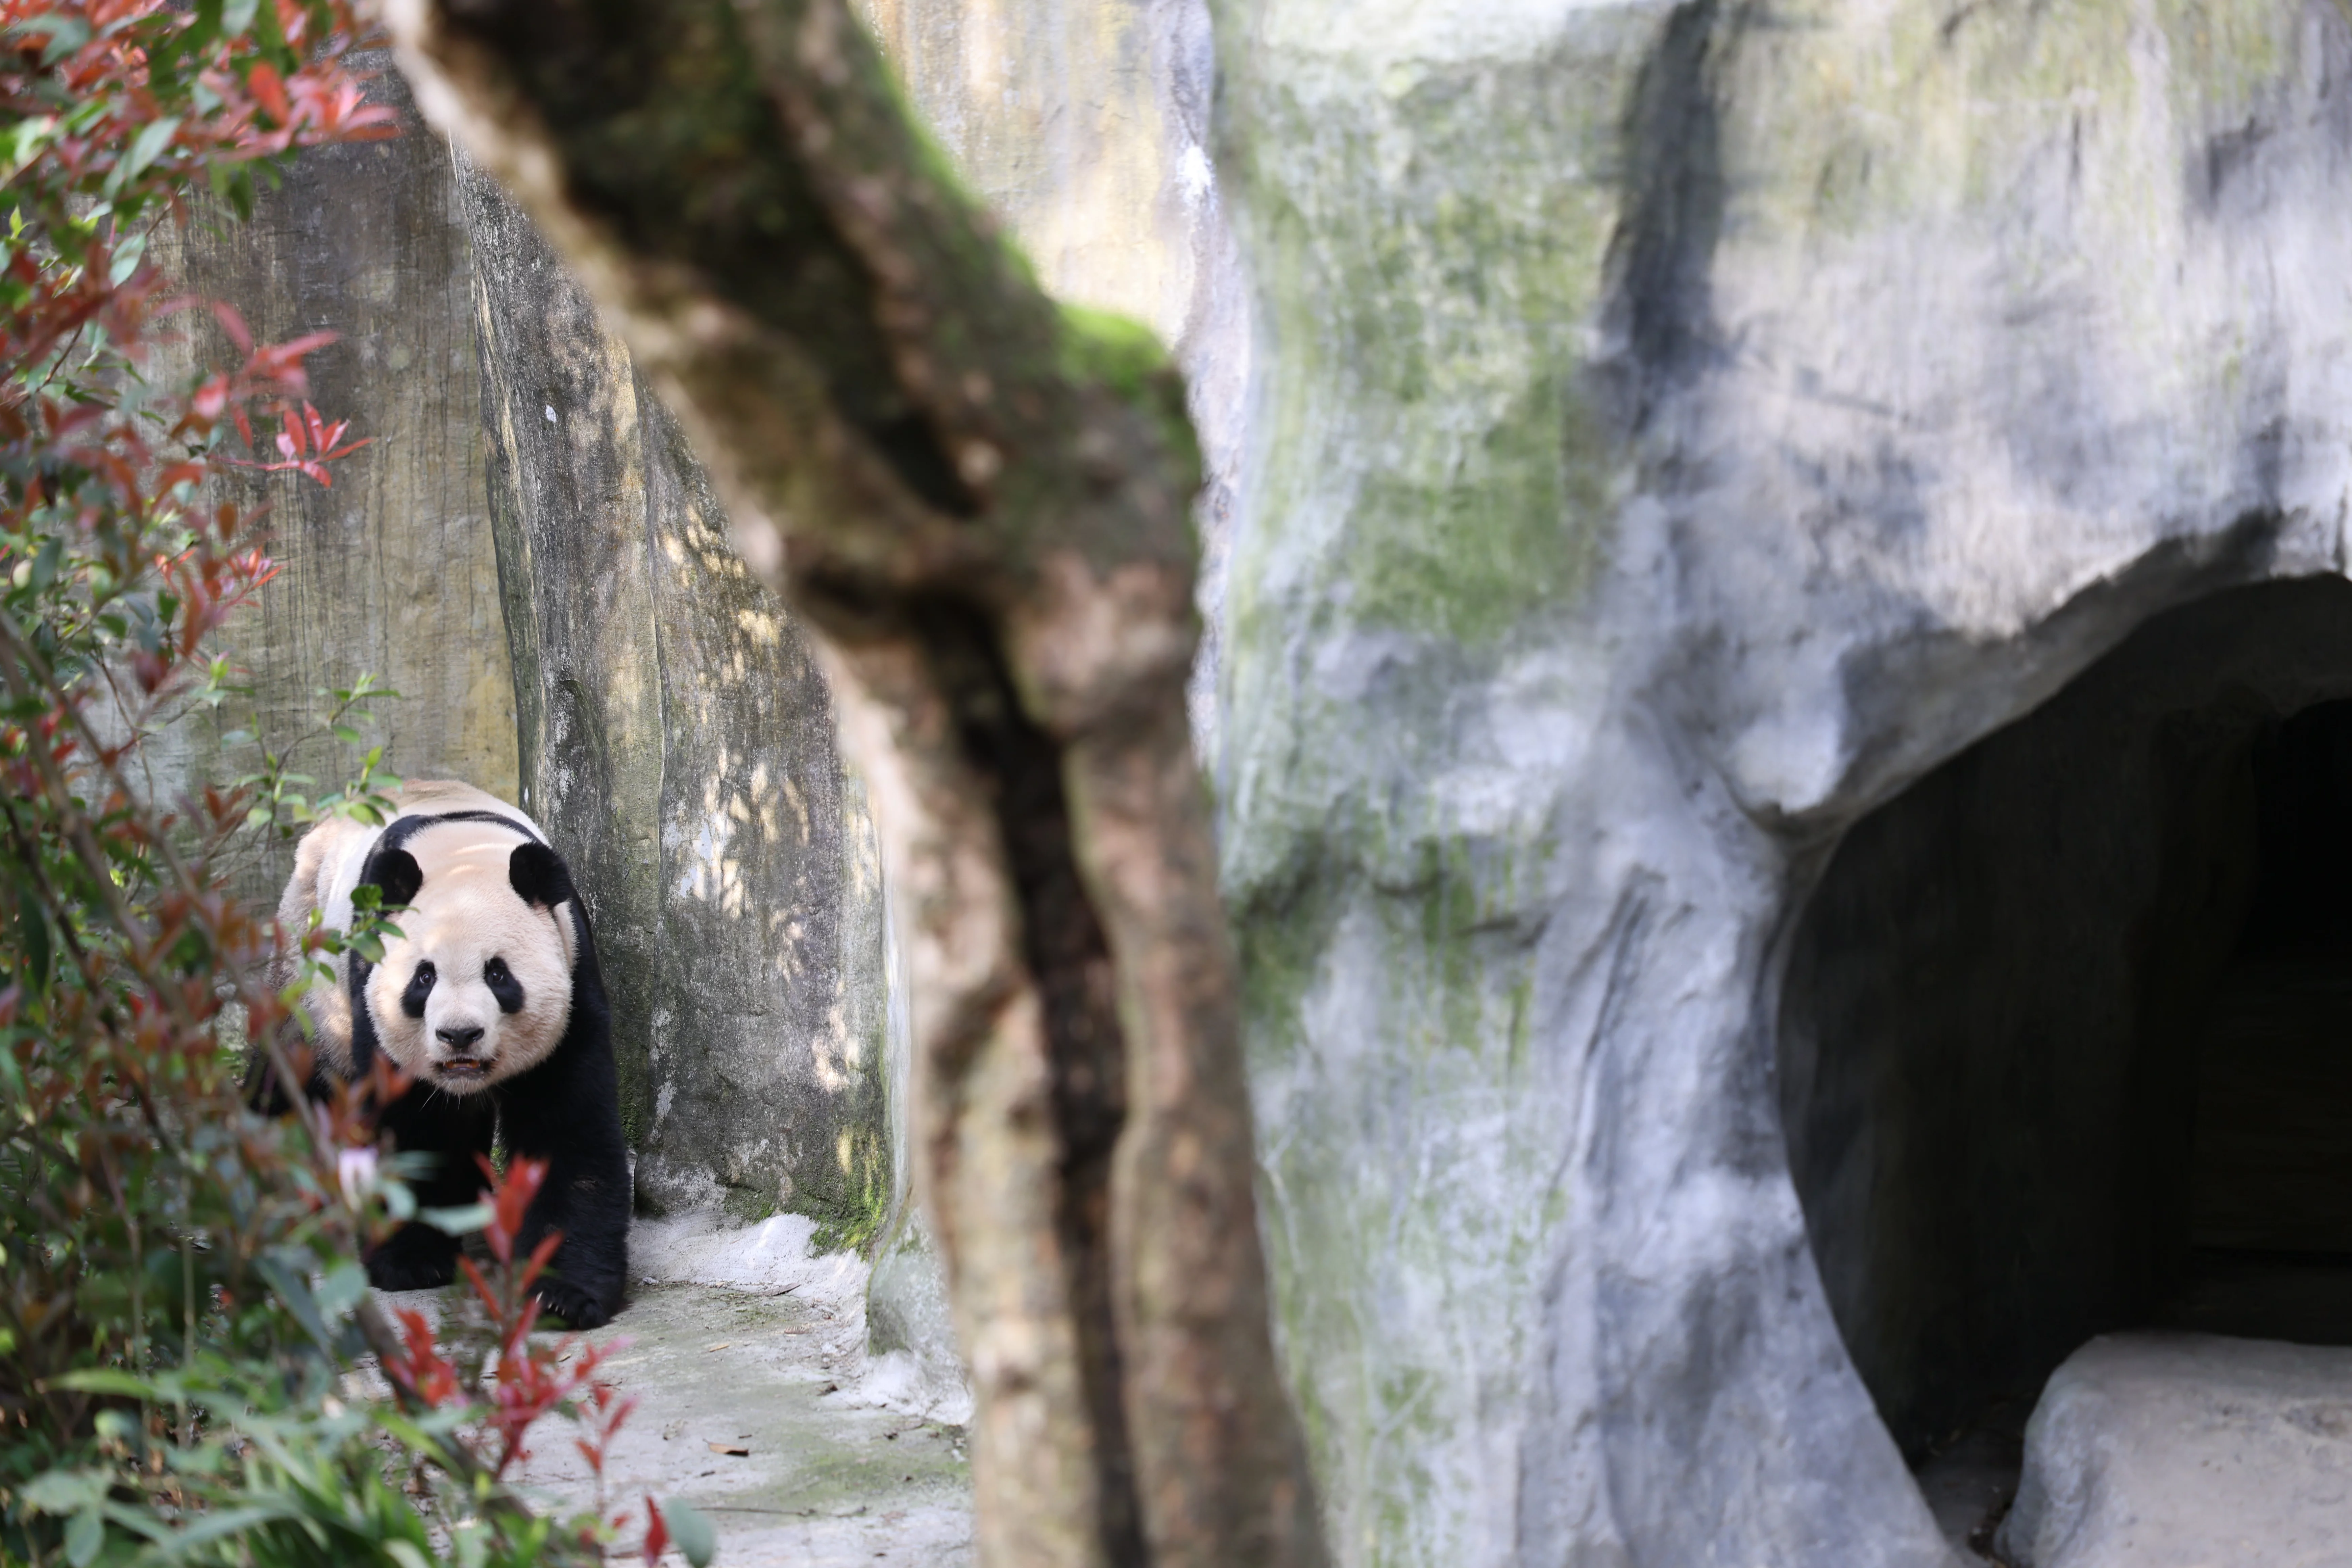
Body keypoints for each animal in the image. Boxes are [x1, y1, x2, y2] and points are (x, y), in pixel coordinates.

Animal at [263, 780, 629, 1328]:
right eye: (424, 977)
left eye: (498, 974)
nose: (460, 1035)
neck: (463, 852)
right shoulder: (370, 987)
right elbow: (413, 1127)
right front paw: (413, 1262)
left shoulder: (573, 973)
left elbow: (569, 1126)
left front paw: (563, 1293)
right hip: (309, 978)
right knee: (293, 1074)